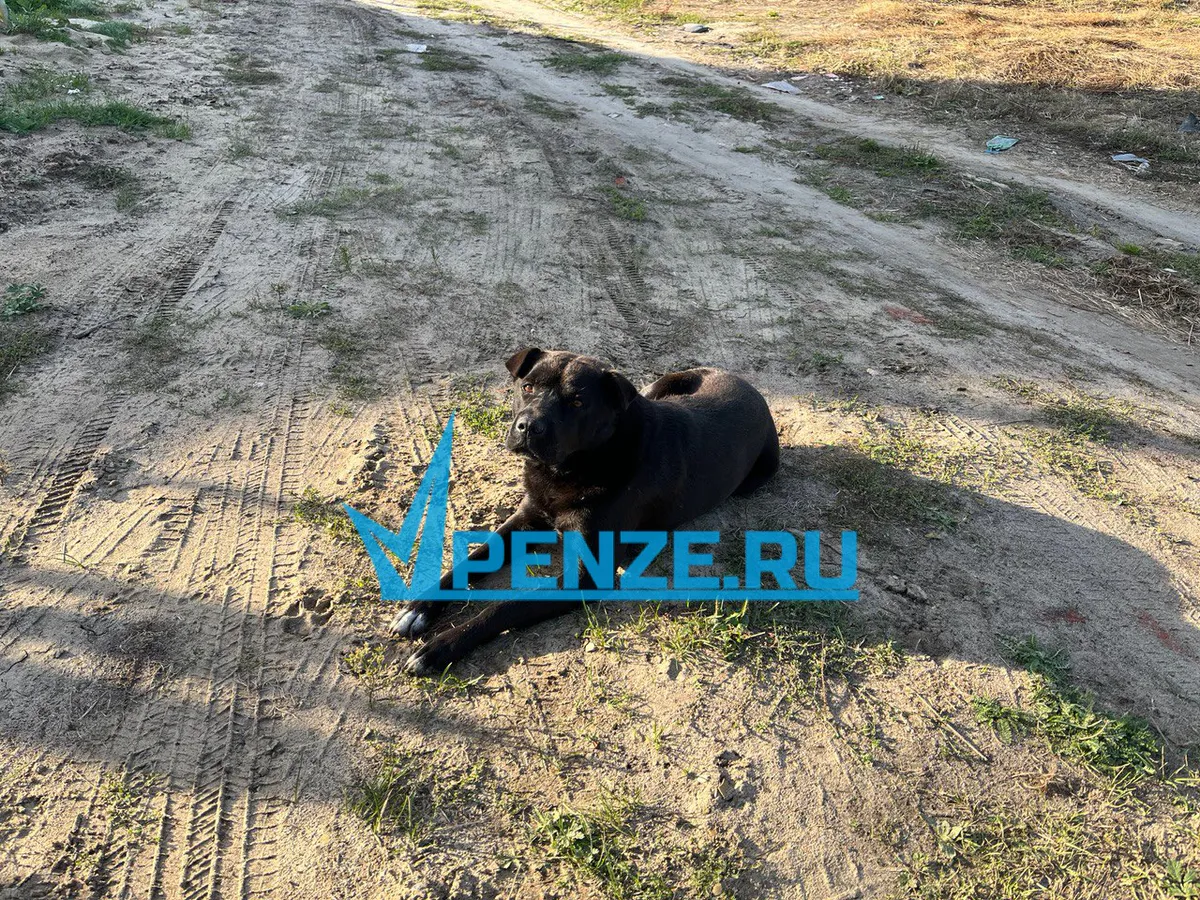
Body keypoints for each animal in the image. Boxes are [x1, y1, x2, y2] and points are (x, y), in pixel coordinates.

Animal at [390, 348, 780, 675]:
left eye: (578, 401)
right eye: (527, 387)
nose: (528, 427)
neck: (573, 467)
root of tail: (750, 387)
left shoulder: (587, 574)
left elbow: (505, 606)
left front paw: (440, 647)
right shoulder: (527, 518)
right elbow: (470, 560)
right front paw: (418, 609)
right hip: (659, 386)